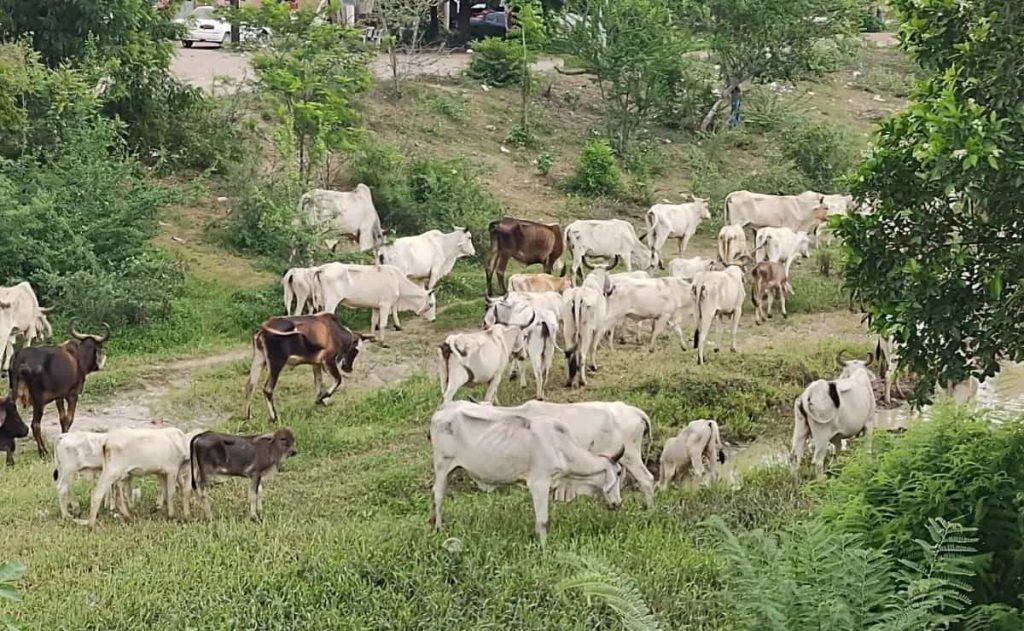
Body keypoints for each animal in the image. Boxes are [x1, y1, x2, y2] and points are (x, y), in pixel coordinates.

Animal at [10, 325, 109, 458]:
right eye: (100, 347)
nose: (99, 366)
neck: (78, 357)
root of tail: (20, 359)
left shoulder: (59, 397)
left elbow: (62, 419)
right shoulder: (73, 395)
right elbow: (69, 419)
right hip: (38, 401)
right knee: (35, 425)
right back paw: (43, 451)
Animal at [425, 401, 622, 544]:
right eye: (619, 473)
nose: (618, 503)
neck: (561, 447)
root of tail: (444, 408)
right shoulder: (539, 483)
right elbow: (543, 520)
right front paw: (544, 548)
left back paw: (431, 522)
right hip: (442, 465)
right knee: (439, 495)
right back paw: (439, 528)